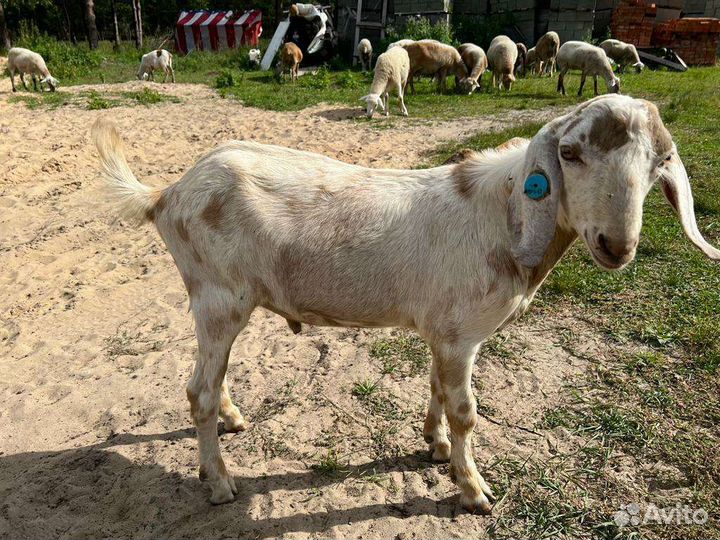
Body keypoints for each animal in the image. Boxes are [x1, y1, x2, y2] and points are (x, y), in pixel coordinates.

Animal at [91, 94, 720, 512]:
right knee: (197, 389)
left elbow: (438, 389)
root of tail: (168, 194)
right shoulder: (462, 334)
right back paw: (219, 483)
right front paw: (473, 490)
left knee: (210, 378)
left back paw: (233, 418)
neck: (502, 216)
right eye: (568, 152)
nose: (617, 246)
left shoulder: (443, 332)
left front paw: (435, 445)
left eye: (660, 162)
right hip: (220, 297)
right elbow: (467, 411)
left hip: (216, 304)